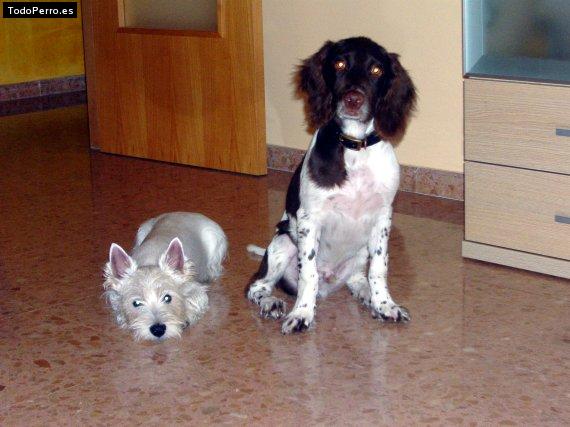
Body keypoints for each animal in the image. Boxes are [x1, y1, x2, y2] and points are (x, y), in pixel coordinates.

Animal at [103, 213, 227, 342]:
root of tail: (184, 213)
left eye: (167, 298)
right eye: (136, 303)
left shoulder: (196, 290)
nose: (158, 330)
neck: (149, 262)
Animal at [246, 36, 414, 334]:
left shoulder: (383, 218)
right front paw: (302, 313)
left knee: (358, 278)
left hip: (360, 251)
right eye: (339, 64)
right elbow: (308, 275)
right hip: (282, 243)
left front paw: (385, 305)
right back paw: (271, 302)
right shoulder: (309, 219)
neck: (355, 147)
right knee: (257, 285)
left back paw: (368, 297)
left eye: (376, 70)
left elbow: (379, 269)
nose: (353, 100)